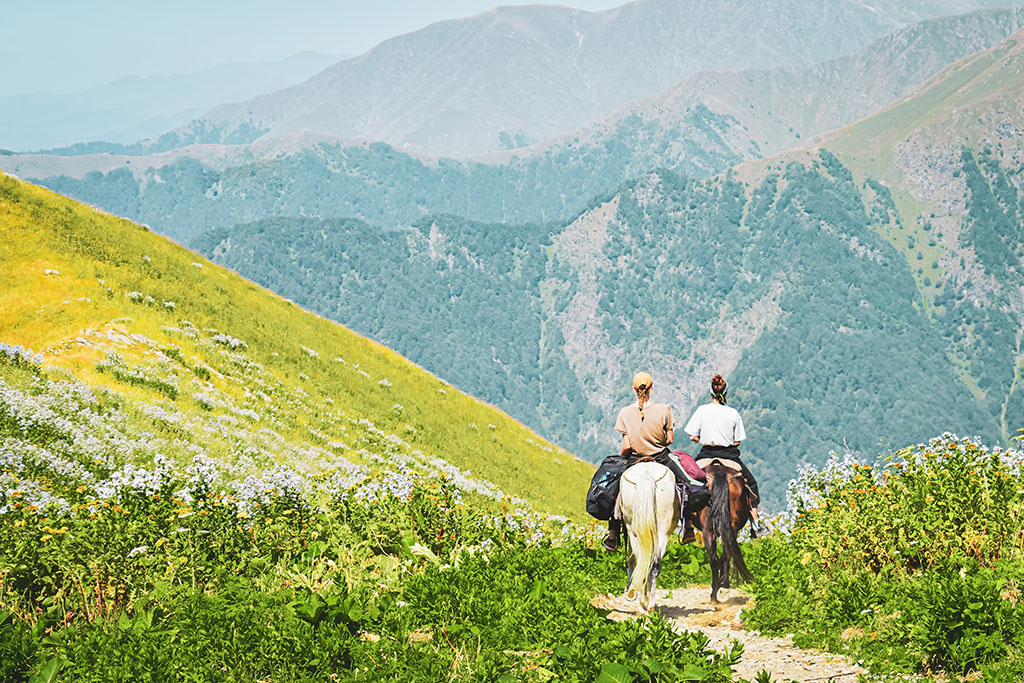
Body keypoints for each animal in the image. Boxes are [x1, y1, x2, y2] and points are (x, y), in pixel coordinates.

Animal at [614, 458, 679, 614]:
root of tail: (647, 474)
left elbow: (632, 562)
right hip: (662, 531)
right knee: (653, 565)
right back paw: (650, 605)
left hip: (634, 530)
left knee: (642, 562)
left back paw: (644, 603)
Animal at [696, 458, 753, 602]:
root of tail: (720, 473)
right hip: (732, 527)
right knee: (726, 555)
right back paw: (724, 584)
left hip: (707, 529)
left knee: (714, 559)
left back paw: (714, 594)